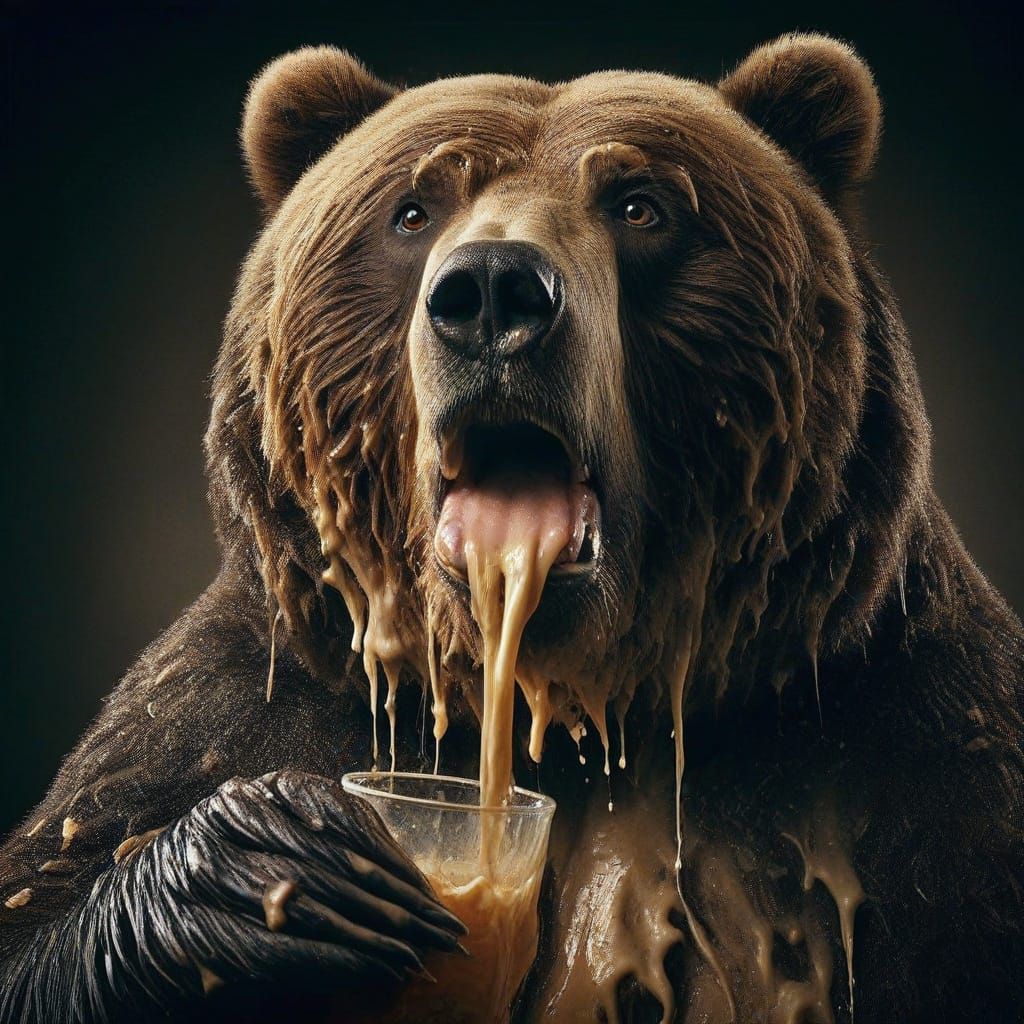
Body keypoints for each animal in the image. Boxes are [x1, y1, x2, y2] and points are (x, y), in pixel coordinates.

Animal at [1, 31, 1022, 1024]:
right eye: (413, 212)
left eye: (641, 205)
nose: (494, 288)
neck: (573, 711)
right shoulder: (231, 702)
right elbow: (48, 900)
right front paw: (277, 869)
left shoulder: (911, 750)